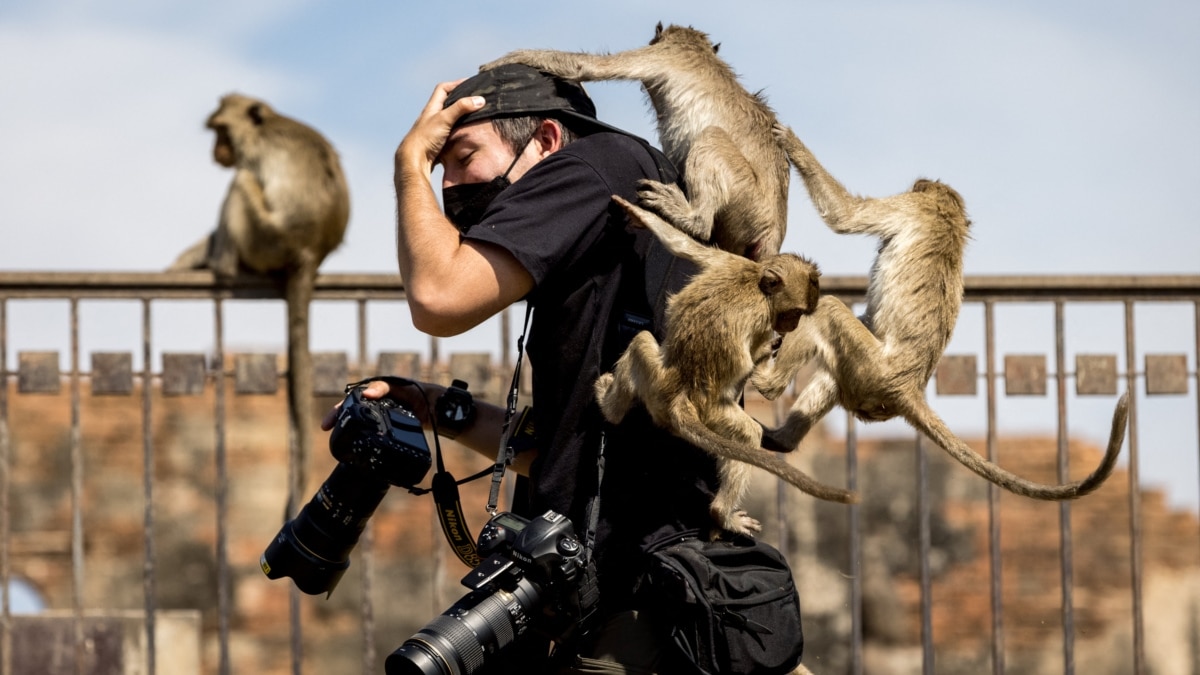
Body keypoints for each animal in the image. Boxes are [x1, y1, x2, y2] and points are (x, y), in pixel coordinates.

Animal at [172, 94, 350, 511]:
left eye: (221, 131)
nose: (216, 150)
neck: (263, 126)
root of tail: (309, 253)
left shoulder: (253, 157)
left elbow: (242, 179)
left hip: (266, 237)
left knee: (240, 183)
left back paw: (221, 265)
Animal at [482, 21, 792, 260]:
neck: (697, 48)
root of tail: (773, 228)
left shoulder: (664, 54)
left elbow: (587, 67)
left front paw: (506, 59)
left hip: (746, 198)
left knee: (711, 138)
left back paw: (693, 219)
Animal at [590, 194, 854, 535]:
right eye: (794, 313)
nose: (792, 326)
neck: (757, 284)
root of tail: (679, 398)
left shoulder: (731, 263)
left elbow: (683, 246)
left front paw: (640, 215)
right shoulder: (760, 315)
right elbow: (756, 374)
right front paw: (766, 353)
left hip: (655, 383)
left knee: (641, 343)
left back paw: (610, 409)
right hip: (711, 413)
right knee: (746, 434)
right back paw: (721, 513)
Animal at [753, 124, 1128, 499]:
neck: (948, 214)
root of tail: (908, 389)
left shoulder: (911, 207)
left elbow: (845, 216)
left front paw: (791, 142)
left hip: (872, 369)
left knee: (828, 310)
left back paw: (768, 383)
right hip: (867, 380)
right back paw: (782, 440)